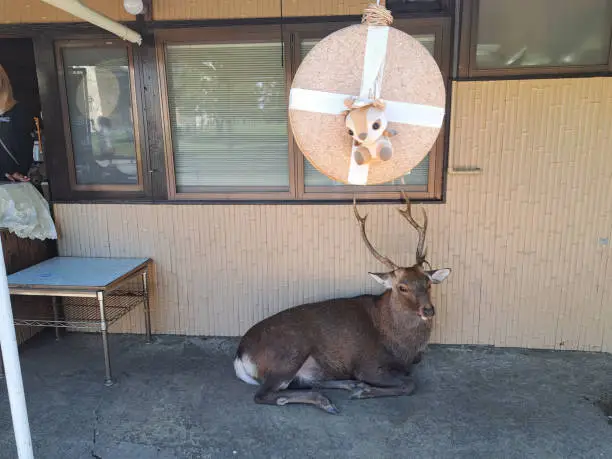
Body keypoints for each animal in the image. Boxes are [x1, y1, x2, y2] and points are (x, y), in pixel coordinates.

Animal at [233, 192, 450, 416]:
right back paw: (327, 399)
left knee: (307, 381)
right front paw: (364, 391)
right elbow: (409, 384)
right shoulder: (367, 365)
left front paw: (361, 388)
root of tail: (240, 356)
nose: (428, 310)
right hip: (288, 353)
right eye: (402, 287)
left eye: (428, 283)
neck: (402, 347)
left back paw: (348, 385)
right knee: (264, 394)